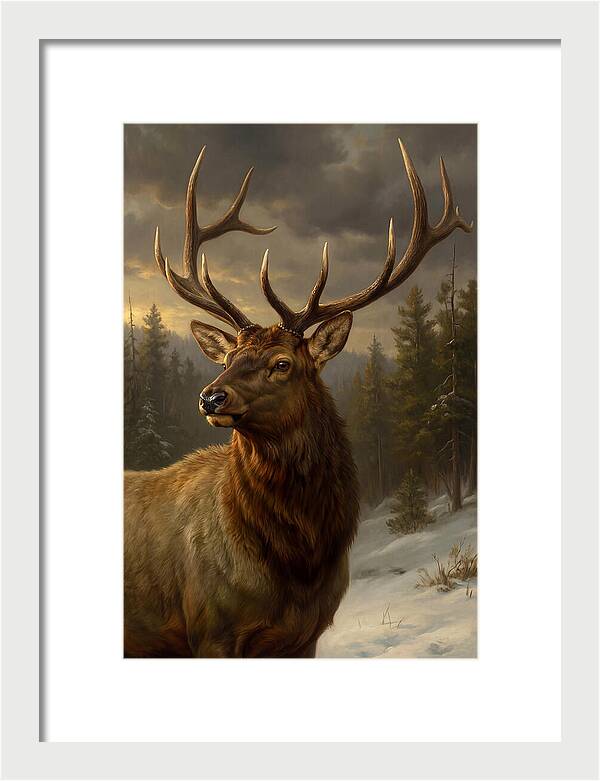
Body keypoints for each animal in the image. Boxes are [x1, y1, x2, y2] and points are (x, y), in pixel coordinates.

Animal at [124, 139, 473, 657]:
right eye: (227, 356)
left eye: (283, 363)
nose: (210, 398)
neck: (297, 564)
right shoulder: (209, 630)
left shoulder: (305, 635)